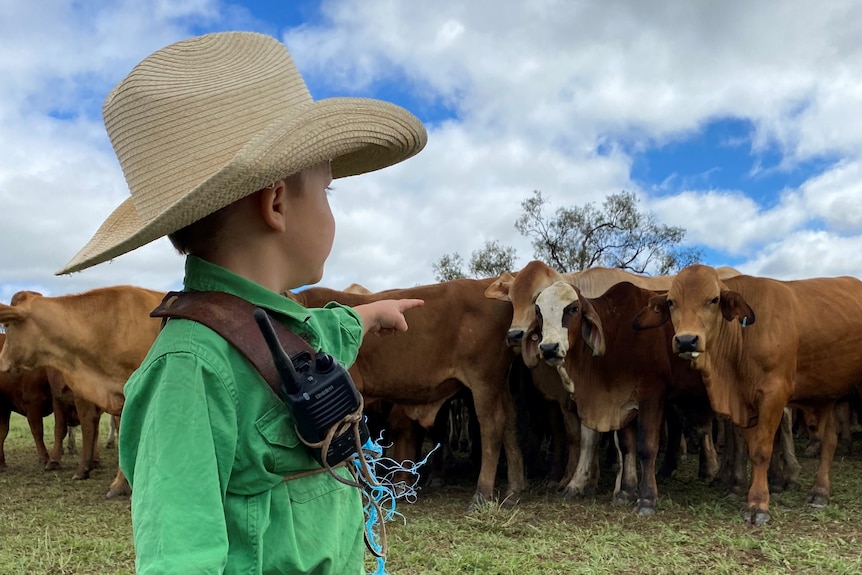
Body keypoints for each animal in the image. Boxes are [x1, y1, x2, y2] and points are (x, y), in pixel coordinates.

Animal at [290, 280, 528, 508]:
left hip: (483, 380)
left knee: (492, 426)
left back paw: (482, 493)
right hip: (498, 384)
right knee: (509, 422)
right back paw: (514, 489)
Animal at [632, 266, 862, 528]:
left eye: (714, 299)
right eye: (671, 302)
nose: (686, 341)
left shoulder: (774, 395)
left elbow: (762, 450)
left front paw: (758, 505)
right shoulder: (745, 403)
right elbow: (752, 450)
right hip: (829, 394)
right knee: (830, 439)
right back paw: (820, 492)